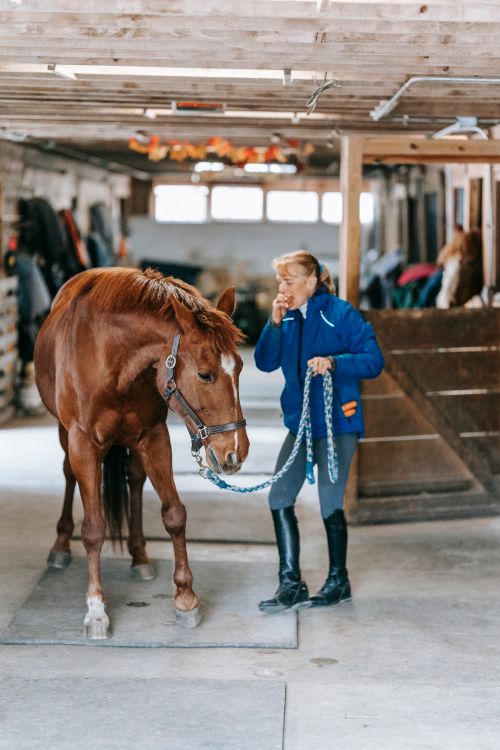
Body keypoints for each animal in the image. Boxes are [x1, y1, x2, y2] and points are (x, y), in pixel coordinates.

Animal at [34, 267, 249, 639]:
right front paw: (96, 610)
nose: (236, 451)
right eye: (205, 374)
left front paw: (185, 597)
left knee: (134, 480)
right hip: (66, 435)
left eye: (239, 368)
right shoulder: (82, 443)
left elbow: (174, 514)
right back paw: (60, 546)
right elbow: (94, 528)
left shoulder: (153, 436)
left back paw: (140, 557)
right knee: (68, 476)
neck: (110, 355)